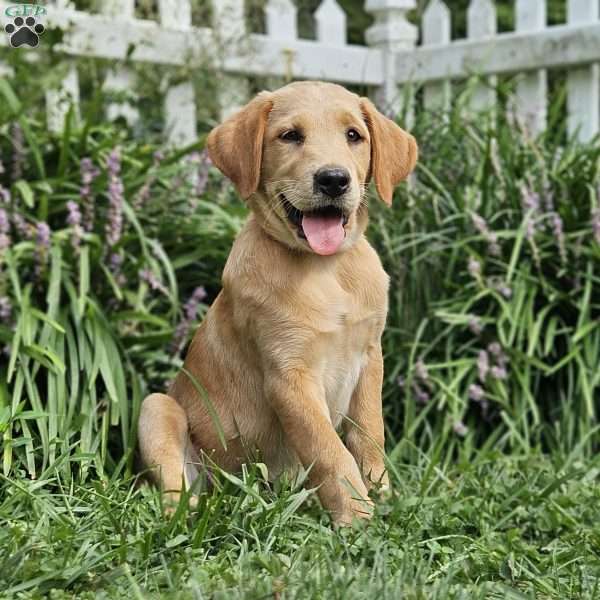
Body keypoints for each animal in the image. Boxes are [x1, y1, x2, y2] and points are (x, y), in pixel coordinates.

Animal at [138, 81, 418, 524]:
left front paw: (382, 494)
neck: (326, 270)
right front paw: (357, 516)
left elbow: (369, 435)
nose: (333, 180)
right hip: (157, 409)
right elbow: (330, 450)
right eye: (290, 136)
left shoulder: (370, 357)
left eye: (354, 135)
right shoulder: (290, 377)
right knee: (173, 490)